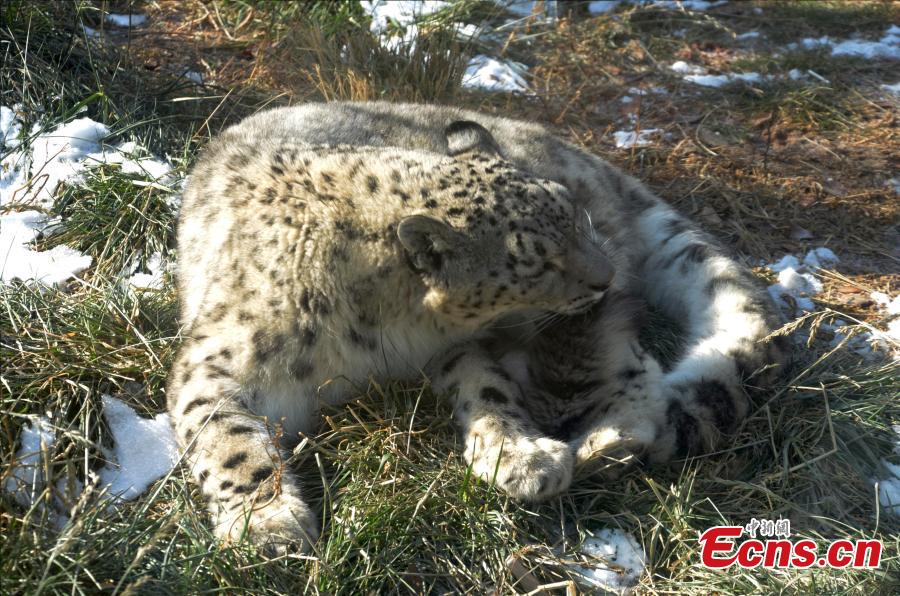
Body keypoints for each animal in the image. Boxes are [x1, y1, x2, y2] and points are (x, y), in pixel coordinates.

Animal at [170, 105, 787, 555]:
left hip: (571, 323)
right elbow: (228, 441)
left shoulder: (457, 347)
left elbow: (488, 390)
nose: (602, 276)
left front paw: (521, 455)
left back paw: (608, 443)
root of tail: (595, 163)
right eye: (536, 262)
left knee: (630, 366)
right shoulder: (215, 364)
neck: (380, 334)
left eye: (572, 216)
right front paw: (269, 524)